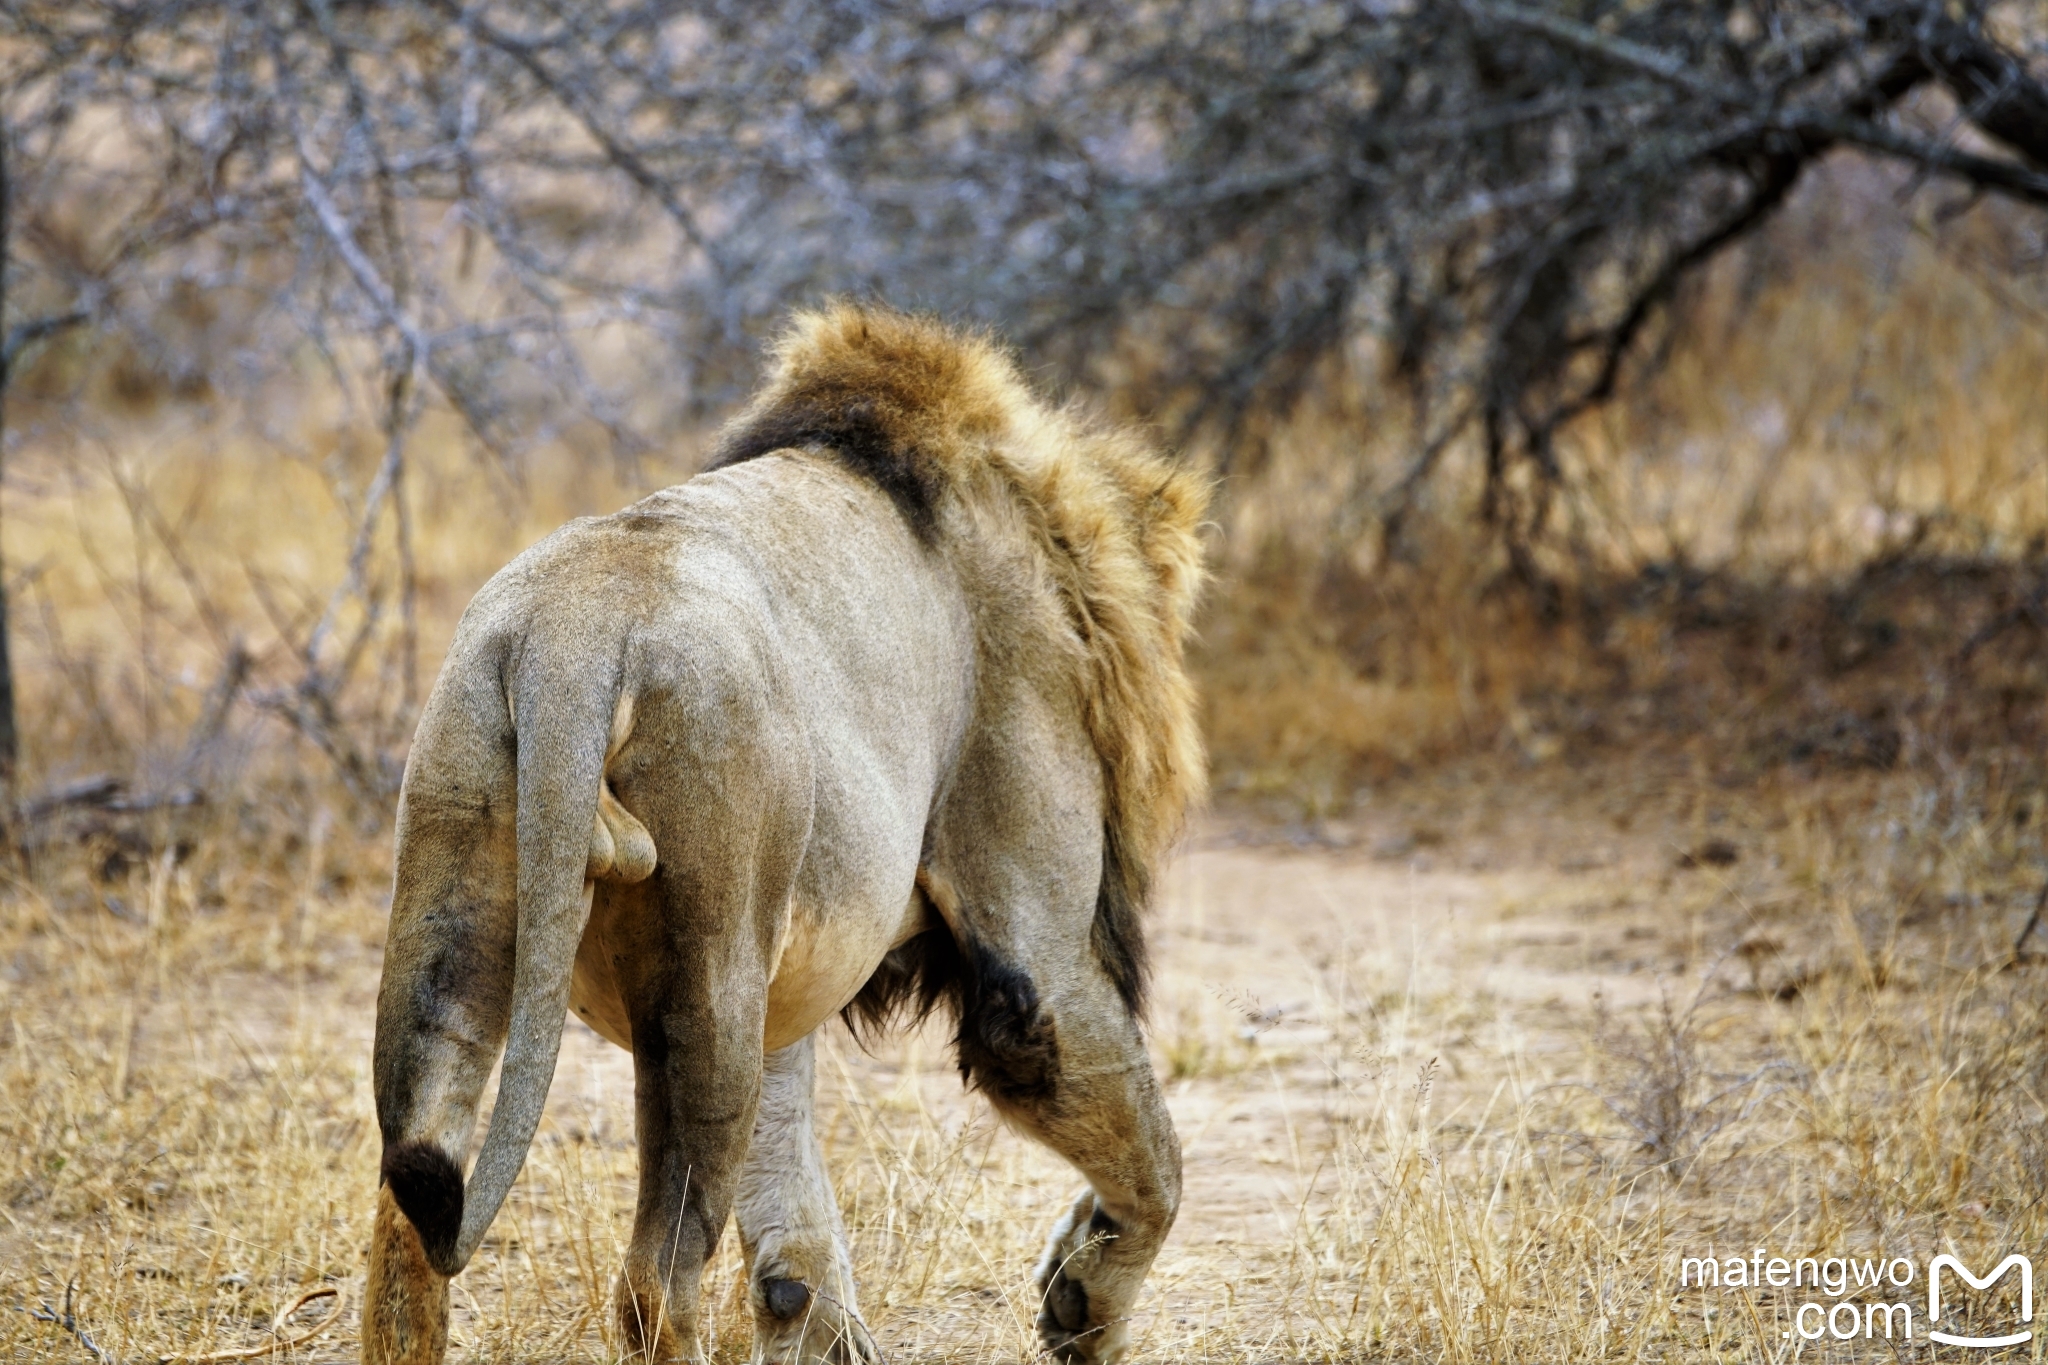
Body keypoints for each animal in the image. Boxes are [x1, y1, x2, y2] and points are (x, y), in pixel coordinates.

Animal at [362, 309, 1204, 1365]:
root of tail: (573, 633)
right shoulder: (1032, 952)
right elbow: (1155, 1160)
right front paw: (1080, 1304)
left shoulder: (793, 968)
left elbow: (790, 1200)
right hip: (710, 962)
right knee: (654, 1282)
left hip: (452, 905)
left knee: (411, 1211)